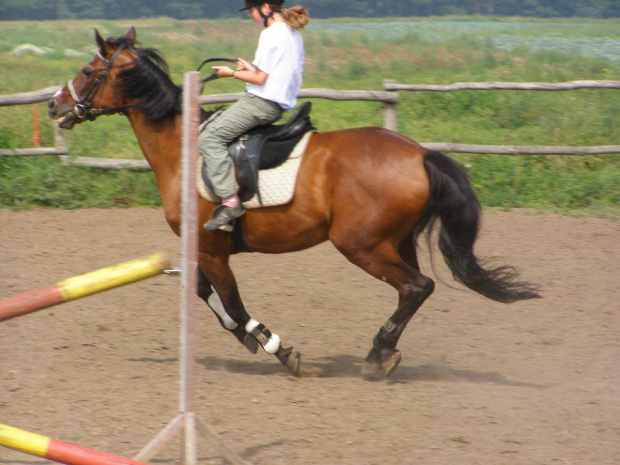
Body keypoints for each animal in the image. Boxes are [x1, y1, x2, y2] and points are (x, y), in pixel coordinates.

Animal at [48, 28, 540, 376]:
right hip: (395, 243)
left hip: (360, 245)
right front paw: (252, 340)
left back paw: (377, 355)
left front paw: (277, 348)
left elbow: (232, 303)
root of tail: (419, 153)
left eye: (89, 71)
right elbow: (207, 295)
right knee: (413, 290)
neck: (183, 151)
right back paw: (383, 354)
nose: (55, 105)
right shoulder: (206, 250)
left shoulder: (212, 249)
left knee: (417, 287)